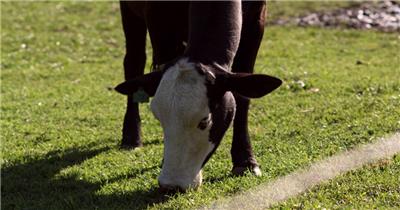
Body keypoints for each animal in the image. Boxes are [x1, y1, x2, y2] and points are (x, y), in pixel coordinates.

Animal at [114, 0, 282, 190]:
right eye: (159, 118)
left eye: (205, 120)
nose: (172, 184)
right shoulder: (160, 21)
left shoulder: (257, 17)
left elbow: (243, 96)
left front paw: (245, 162)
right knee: (134, 61)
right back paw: (131, 138)